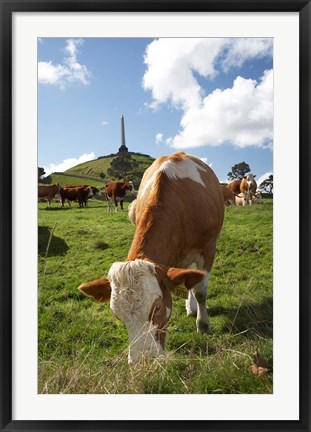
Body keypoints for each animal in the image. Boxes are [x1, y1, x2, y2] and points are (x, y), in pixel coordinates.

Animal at [78, 154, 224, 362]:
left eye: (157, 308)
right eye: (117, 316)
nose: (143, 361)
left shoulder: (208, 248)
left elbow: (201, 291)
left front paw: (203, 325)